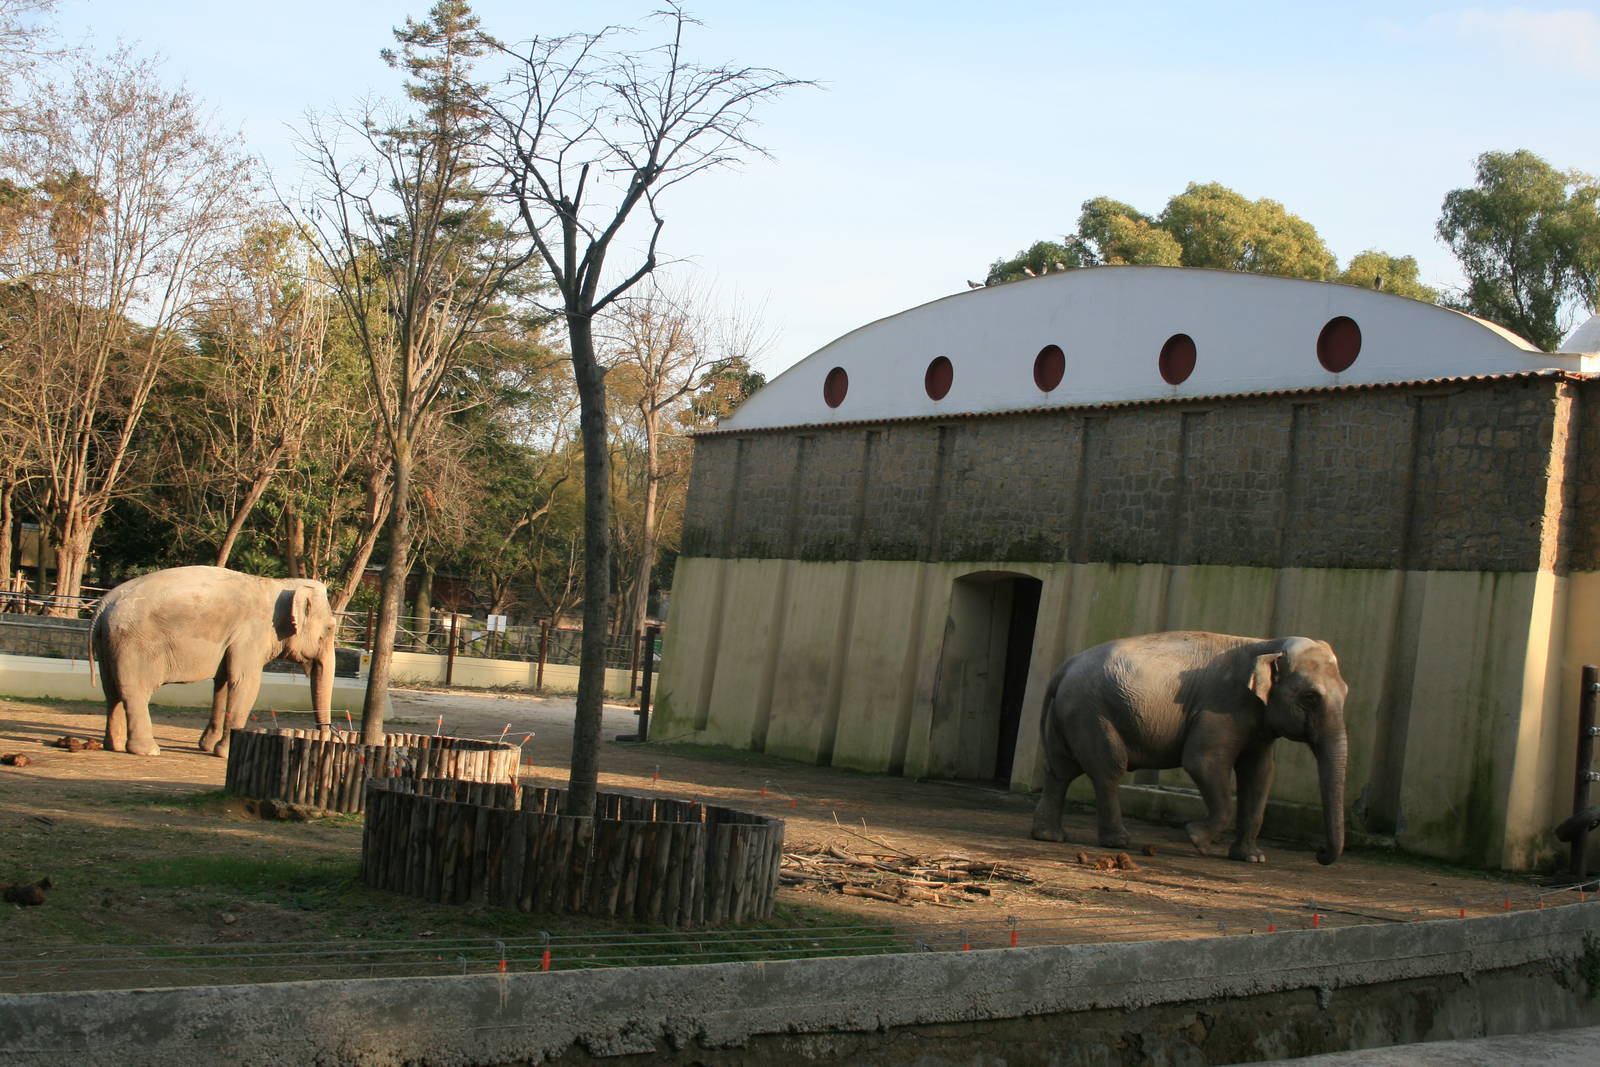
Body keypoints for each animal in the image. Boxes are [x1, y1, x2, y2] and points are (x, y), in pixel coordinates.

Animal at [90, 566, 337, 757]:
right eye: (329, 628)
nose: (327, 738)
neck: (280, 585)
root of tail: (103, 605)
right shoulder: (251, 634)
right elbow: (245, 683)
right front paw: (225, 753)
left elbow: (224, 682)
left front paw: (207, 747)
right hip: (134, 644)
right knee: (135, 692)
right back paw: (148, 750)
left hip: (108, 643)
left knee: (111, 691)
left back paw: (114, 745)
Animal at [1029, 631, 1349, 865]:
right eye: (1310, 697)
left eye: (1346, 693)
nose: (1319, 852)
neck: (1267, 645)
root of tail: (1064, 668)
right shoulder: (1221, 706)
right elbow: (1202, 761)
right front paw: (1197, 838)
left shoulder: (1257, 722)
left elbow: (1260, 773)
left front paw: (1253, 858)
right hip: (1091, 713)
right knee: (1108, 768)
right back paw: (1118, 841)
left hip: (1068, 714)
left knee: (1060, 770)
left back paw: (1050, 836)